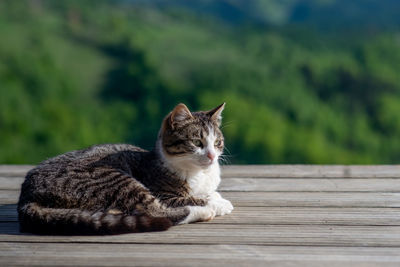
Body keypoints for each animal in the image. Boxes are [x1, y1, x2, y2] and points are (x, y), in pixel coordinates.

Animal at [17, 103, 233, 236]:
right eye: (197, 142)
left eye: (217, 142)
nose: (212, 156)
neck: (200, 174)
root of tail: (26, 197)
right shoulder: (165, 195)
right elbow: (192, 198)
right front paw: (218, 203)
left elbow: (208, 193)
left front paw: (214, 196)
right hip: (115, 178)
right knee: (154, 211)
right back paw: (204, 211)